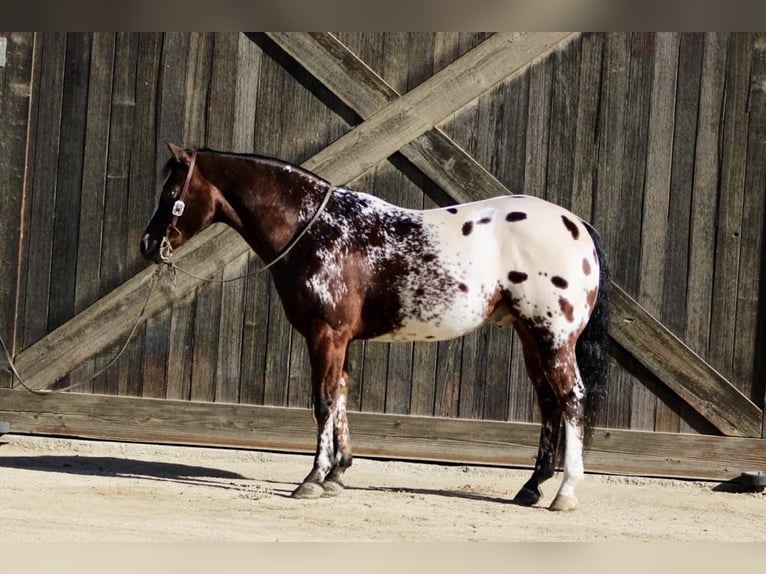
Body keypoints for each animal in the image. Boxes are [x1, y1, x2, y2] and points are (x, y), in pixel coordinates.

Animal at [141, 143, 610, 511]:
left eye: (171, 192)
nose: (148, 244)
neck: (315, 229)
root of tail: (576, 225)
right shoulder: (340, 339)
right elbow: (340, 396)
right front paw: (337, 474)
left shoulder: (325, 334)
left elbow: (323, 402)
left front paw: (313, 478)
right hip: (532, 338)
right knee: (549, 404)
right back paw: (531, 488)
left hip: (554, 338)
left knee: (571, 399)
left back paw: (565, 493)